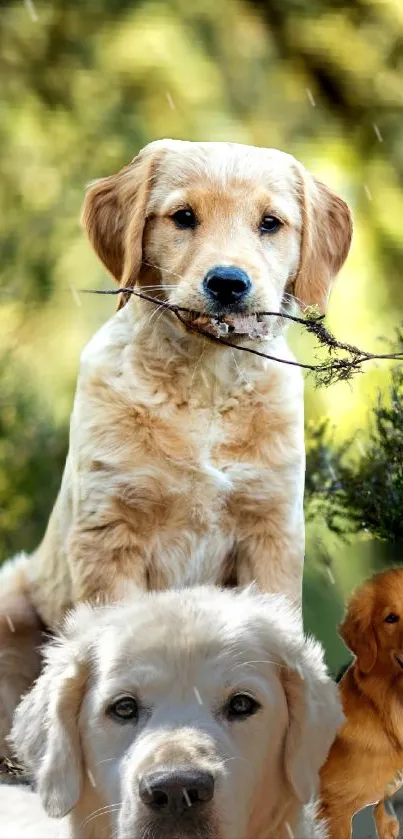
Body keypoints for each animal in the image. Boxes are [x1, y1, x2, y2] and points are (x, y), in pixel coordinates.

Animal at [0, 138, 352, 756]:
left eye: (270, 223)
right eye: (183, 217)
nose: (228, 283)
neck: (205, 381)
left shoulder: (270, 534)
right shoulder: (109, 538)